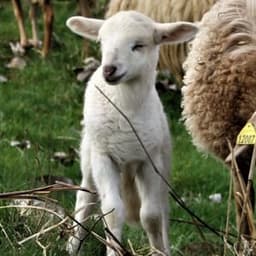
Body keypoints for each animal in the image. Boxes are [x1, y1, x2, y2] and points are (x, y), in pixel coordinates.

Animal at [66, 9, 198, 255]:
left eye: (138, 45)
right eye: (101, 42)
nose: (109, 69)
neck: (125, 106)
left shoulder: (149, 161)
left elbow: (151, 216)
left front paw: (158, 251)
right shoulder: (103, 157)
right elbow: (112, 211)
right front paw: (113, 250)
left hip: (163, 167)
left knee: (163, 211)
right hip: (89, 157)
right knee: (85, 198)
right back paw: (72, 246)